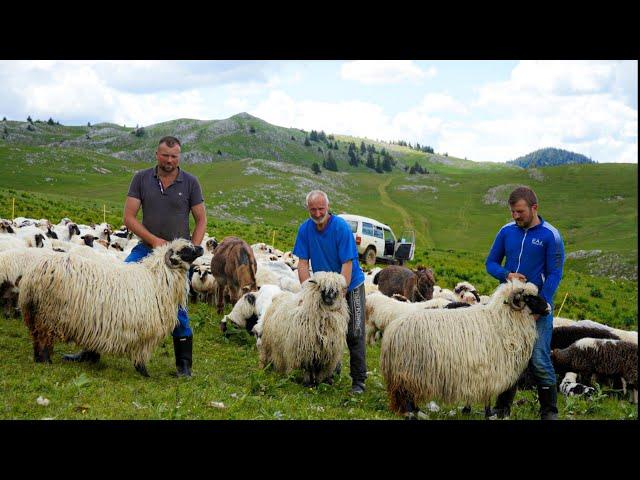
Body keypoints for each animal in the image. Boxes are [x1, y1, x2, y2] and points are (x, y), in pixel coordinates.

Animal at [18, 238, 202, 376]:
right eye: (185, 250)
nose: (201, 248)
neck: (157, 279)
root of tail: (34, 273)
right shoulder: (145, 333)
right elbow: (141, 355)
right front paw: (144, 373)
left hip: (36, 312)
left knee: (36, 337)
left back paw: (39, 359)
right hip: (48, 313)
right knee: (43, 338)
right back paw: (46, 361)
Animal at [380, 280, 552, 418]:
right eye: (529, 298)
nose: (549, 308)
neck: (502, 320)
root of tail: (392, 330)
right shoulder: (489, 370)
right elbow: (487, 396)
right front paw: (487, 414)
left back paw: (417, 411)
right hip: (409, 370)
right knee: (407, 395)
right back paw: (412, 413)